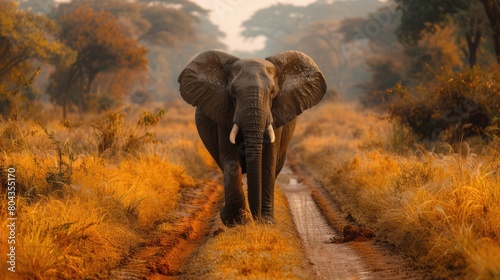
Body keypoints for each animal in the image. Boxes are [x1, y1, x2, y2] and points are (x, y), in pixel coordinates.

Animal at [178, 50, 326, 228]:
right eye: (233, 92)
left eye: (272, 92)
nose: (256, 219)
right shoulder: (223, 112)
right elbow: (230, 159)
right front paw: (236, 222)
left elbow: (268, 160)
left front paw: (266, 222)